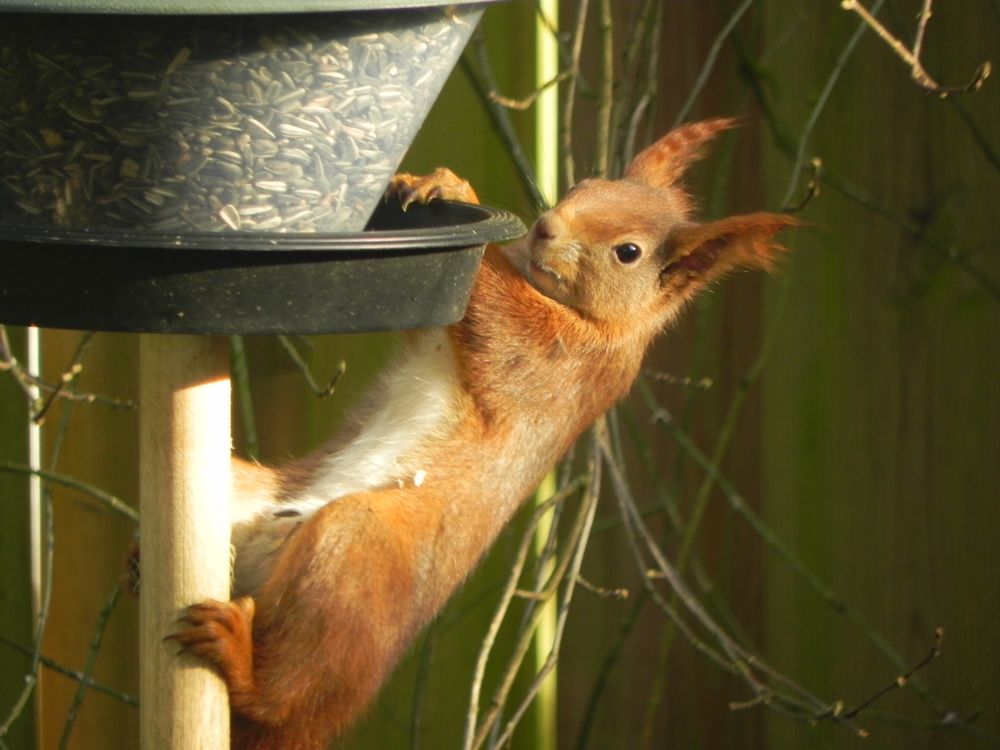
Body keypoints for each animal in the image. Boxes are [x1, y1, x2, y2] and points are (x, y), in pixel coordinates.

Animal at [170, 117, 796, 748]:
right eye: (587, 183)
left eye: (629, 253)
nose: (546, 227)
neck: (608, 324)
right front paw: (432, 183)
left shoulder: (556, 362)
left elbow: (497, 312)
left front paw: (458, 194)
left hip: (357, 554)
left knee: (289, 689)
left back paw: (243, 663)